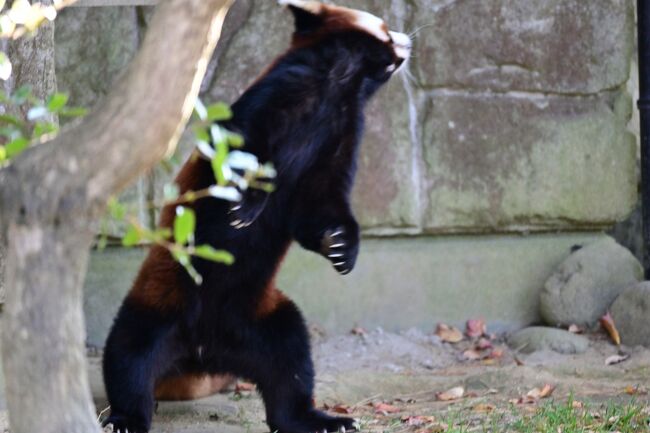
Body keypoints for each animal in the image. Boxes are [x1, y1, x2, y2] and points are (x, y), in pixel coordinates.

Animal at [104, 1, 412, 430]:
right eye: (384, 28)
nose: (407, 39)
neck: (335, 88)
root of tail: (202, 352)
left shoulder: (341, 136)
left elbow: (317, 209)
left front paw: (341, 246)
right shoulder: (269, 99)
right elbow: (238, 154)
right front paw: (247, 201)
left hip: (259, 319)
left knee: (289, 360)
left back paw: (315, 418)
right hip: (162, 300)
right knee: (130, 351)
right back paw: (125, 416)